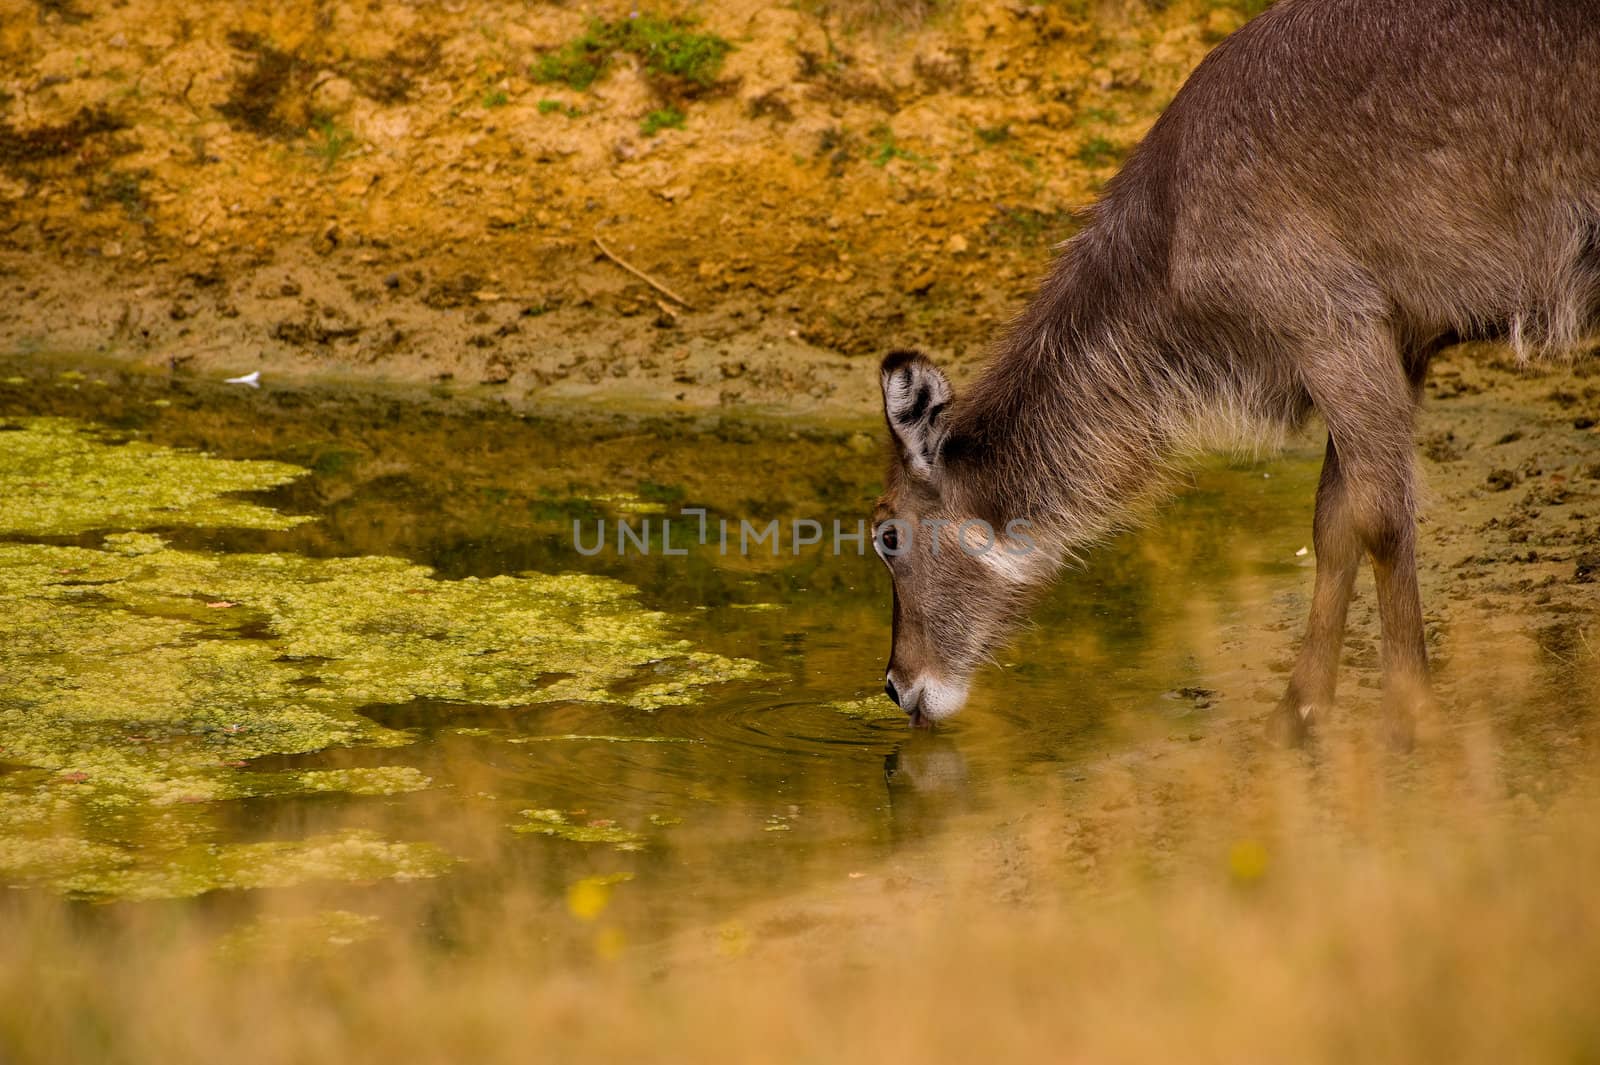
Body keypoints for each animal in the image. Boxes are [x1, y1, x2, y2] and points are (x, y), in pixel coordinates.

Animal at [876, 0, 1600, 741]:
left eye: (886, 535)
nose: (898, 685)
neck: (1169, 238)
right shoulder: (1395, 343)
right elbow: (1333, 521)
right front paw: (1298, 710)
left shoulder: (1335, 325)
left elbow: (1379, 518)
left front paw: (1410, 713)